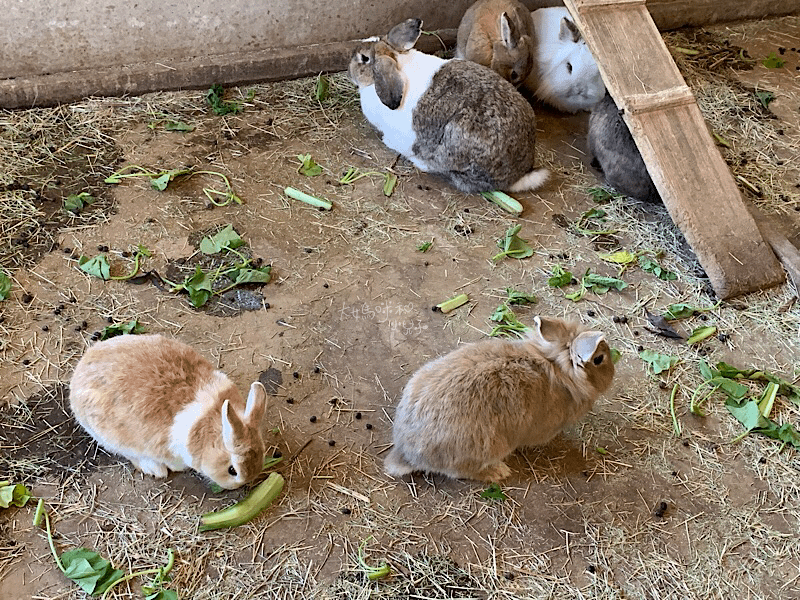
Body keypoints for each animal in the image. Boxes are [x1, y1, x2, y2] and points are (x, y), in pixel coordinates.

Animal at [384, 316, 616, 480]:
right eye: (599, 359)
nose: (613, 372)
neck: (557, 367)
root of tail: (407, 453)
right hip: (488, 447)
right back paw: (498, 472)